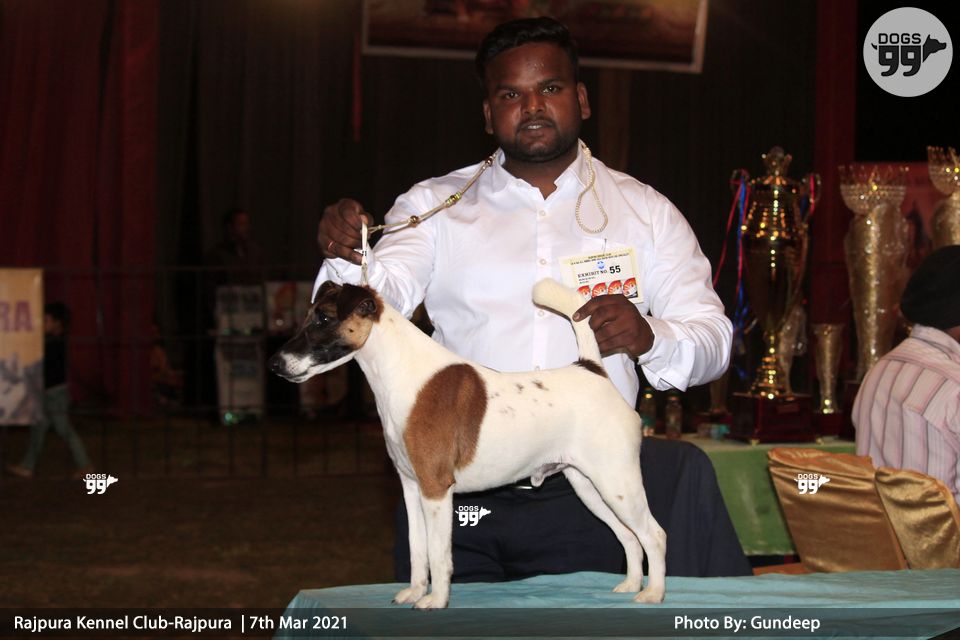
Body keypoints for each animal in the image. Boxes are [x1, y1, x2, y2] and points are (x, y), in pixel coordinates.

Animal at [268, 278, 666, 609]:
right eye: (309, 317)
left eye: (322, 318)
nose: (274, 364)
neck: (403, 373)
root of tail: (592, 370)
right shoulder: (412, 489)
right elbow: (418, 551)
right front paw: (415, 592)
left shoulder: (435, 489)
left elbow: (439, 554)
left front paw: (435, 600)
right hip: (590, 487)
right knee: (630, 537)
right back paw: (631, 585)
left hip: (617, 483)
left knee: (654, 535)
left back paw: (654, 594)